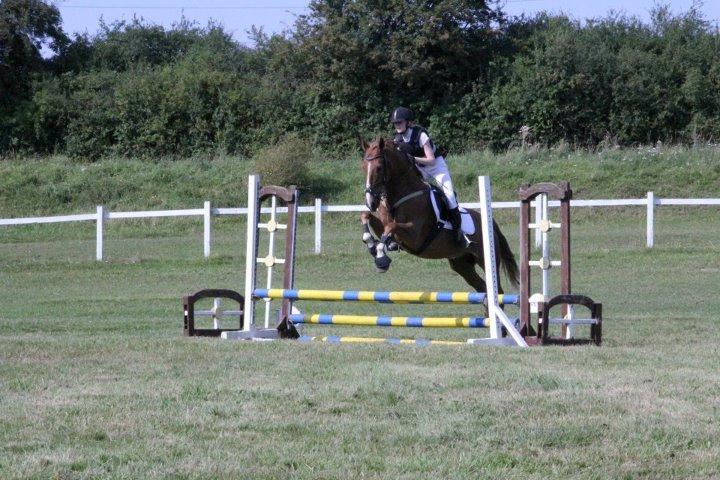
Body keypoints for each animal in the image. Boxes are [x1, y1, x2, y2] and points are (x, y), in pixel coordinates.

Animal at [360, 137, 516, 294]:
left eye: (379, 167)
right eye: (363, 167)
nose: (370, 202)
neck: (400, 196)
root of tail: (490, 222)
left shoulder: (415, 237)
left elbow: (392, 226)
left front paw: (381, 258)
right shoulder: (386, 228)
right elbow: (367, 217)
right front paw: (372, 245)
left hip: (485, 258)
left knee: (497, 290)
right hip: (461, 264)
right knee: (482, 288)